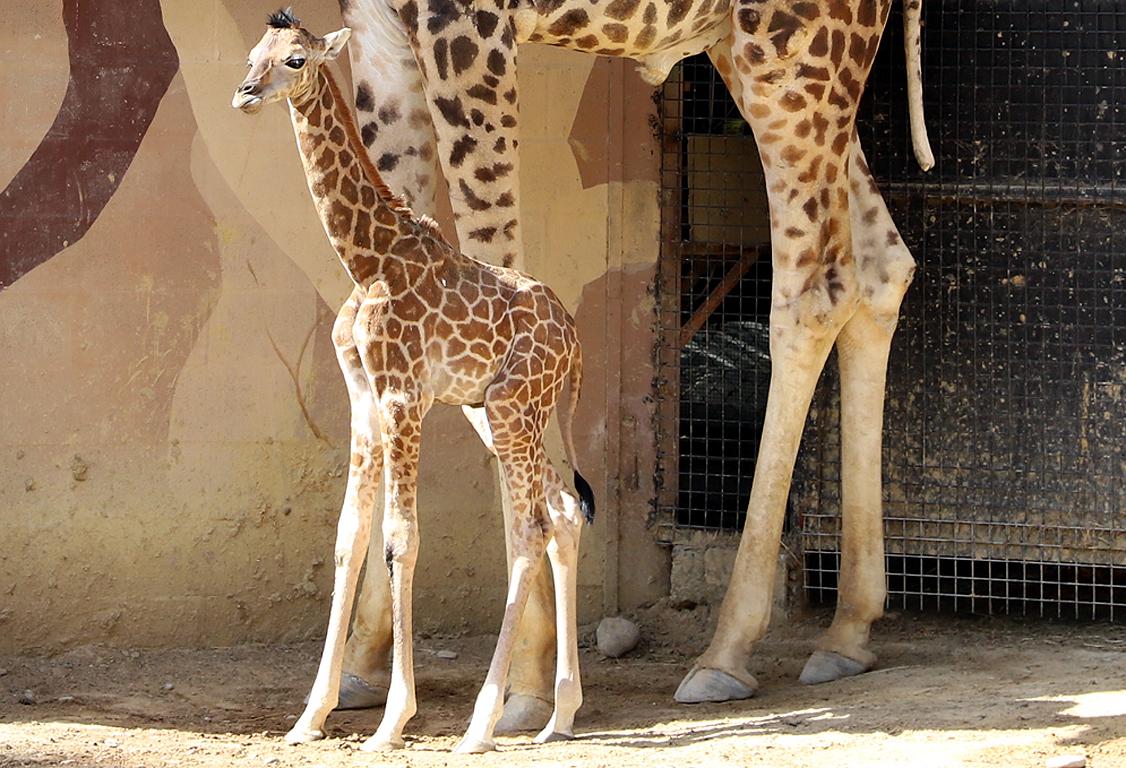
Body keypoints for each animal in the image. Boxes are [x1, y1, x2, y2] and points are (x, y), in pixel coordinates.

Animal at [233, 8, 594, 752]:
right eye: (253, 53)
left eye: (294, 61)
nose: (244, 94)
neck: (368, 257)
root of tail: (574, 342)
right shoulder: (365, 399)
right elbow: (349, 538)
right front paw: (309, 718)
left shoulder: (403, 394)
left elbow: (403, 539)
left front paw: (392, 721)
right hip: (514, 414)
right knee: (564, 511)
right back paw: (560, 715)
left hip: (512, 409)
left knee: (530, 528)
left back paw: (485, 722)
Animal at [326, 0, 932, 720]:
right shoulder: (375, 29)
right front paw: (363, 664)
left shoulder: (471, 26)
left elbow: (493, 270)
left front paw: (528, 676)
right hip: (759, 52)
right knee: (881, 265)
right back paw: (848, 631)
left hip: (793, 44)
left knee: (817, 292)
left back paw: (727, 650)